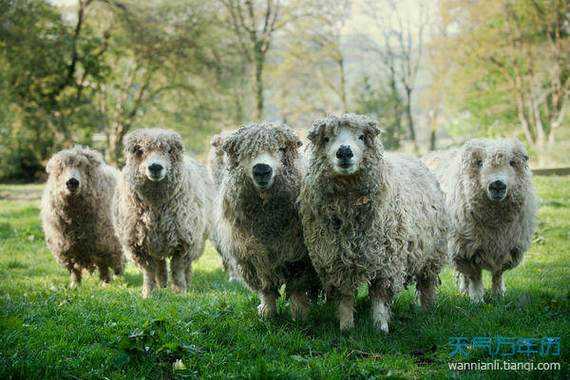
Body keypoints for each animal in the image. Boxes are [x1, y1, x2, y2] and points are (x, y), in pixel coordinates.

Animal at [40, 146, 124, 288]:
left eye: (84, 167)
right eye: (61, 168)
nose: (72, 182)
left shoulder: (103, 242)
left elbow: (103, 265)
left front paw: (105, 284)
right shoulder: (66, 247)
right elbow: (74, 269)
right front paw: (75, 286)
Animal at [112, 129, 212, 298]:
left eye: (169, 150)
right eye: (140, 151)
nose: (155, 167)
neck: (156, 206)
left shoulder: (184, 241)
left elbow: (178, 270)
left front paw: (179, 292)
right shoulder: (138, 245)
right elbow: (148, 272)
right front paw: (148, 294)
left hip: (194, 239)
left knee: (185, 266)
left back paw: (185, 282)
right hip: (155, 240)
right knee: (159, 262)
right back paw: (162, 283)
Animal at [215, 122, 320, 320]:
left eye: (279, 149)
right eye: (245, 151)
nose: (262, 170)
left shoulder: (297, 254)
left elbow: (297, 285)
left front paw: (299, 313)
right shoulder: (252, 255)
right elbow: (266, 286)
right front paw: (267, 312)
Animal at [298, 113, 448, 332]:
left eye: (361, 137)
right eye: (326, 139)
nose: (344, 151)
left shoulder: (387, 260)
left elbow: (380, 295)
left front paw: (380, 326)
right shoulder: (335, 260)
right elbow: (345, 296)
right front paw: (346, 327)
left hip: (432, 252)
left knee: (427, 284)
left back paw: (428, 311)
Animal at [422, 138, 536, 302]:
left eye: (511, 163)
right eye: (480, 163)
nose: (497, 185)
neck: (496, 223)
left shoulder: (507, 247)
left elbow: (498, 274)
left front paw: (498, 295)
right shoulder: (466, 250)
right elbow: (475, 276)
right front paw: (477, 299)